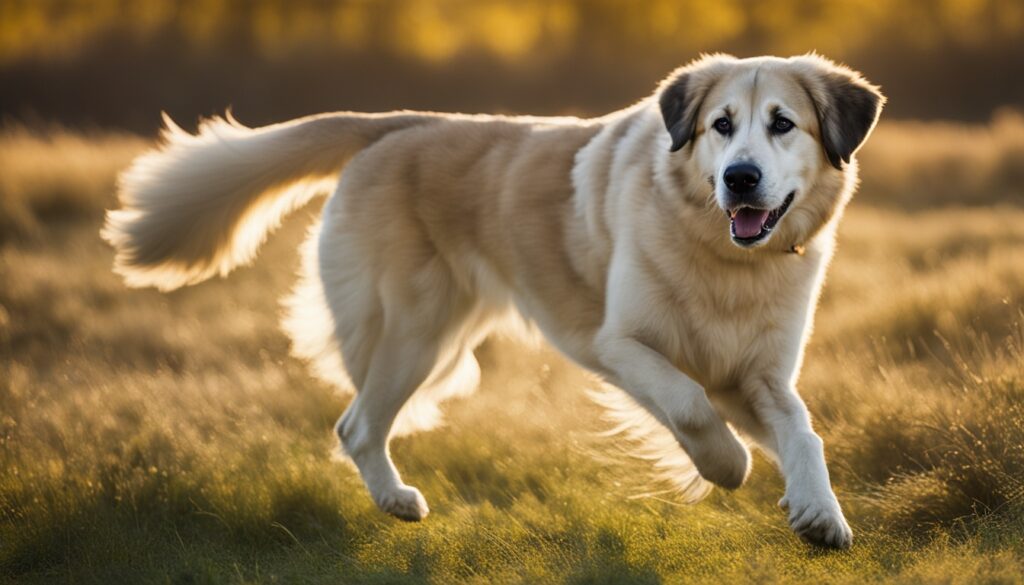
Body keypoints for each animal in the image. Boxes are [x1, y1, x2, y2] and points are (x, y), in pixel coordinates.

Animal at [105, 54, 888, 549]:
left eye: (782, 123)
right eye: (721, 125)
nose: (740, 178)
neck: (726, 260)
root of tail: (401, 124)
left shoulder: (758, 377)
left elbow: (803, 432)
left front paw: (819, 512)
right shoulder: (620, 345)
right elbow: (691, 406)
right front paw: (728, 467)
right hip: (417, 334)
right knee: (357, 425)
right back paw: (395, 499)